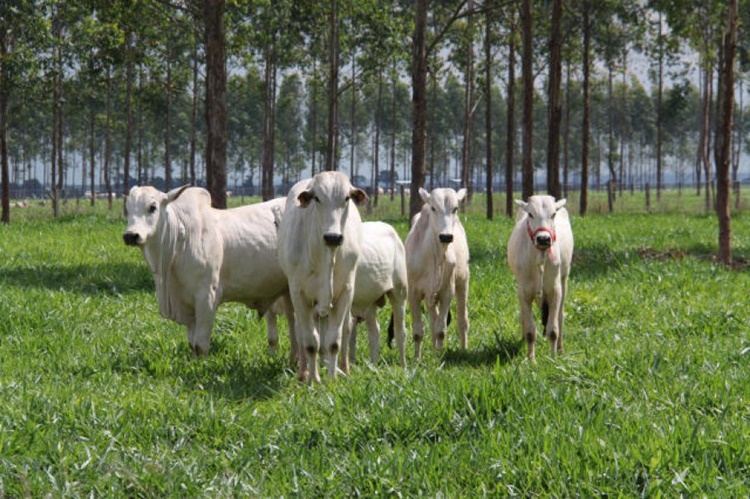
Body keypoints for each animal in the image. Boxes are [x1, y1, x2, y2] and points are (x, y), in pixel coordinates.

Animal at [122, 186, 296, 358]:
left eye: (153, 207)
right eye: (128, 209)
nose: (130, 235)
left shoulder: (207, 298)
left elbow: (200, 346)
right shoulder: (188, 305)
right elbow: (192, 345)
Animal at [278, 172, 368, 382]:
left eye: (346, 198)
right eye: (317, 198)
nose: (333, 237)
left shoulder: (345, 292)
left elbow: (333, 341)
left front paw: (332, 378)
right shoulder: (299, 294)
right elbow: (311, 341)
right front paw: (313, 379)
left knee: (343, 329)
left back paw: (341, 367)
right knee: (303, 334)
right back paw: (304, 372)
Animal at [406, 188, 470, 360]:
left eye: (455, 208)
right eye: (433, 208)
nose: (446, 236)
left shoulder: (448, 291)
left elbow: (441, 329)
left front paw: (440, 356)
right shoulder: (413, 293)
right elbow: (418, 330)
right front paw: (417, 358)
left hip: (463, 282)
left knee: (462, 320)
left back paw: (462, 349)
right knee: (432, 320)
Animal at [512, 195, 576, 364]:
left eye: (553, 214)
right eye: (531, 214)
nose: (543, 239)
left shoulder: (555, 290)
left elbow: (553, 330)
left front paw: (553, 358)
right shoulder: (523, 292)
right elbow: (530, 331)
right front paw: (531, 360)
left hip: (564, 279)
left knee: (560, 316)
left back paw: (560, 348)